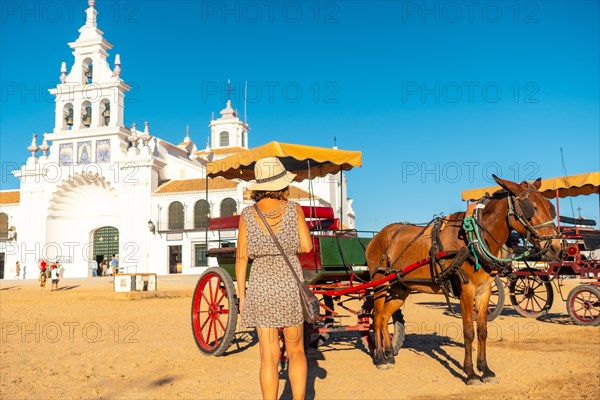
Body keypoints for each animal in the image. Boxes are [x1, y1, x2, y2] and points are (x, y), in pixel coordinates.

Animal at [366, 176, 564, 384]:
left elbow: (483, 331)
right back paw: (380, 358)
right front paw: (470, 373)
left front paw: (485, 369)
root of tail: (379, 235)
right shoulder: (466, 289)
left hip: (400, 287)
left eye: (550, 207)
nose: (556, 248)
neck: (473, 240)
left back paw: (389, 354)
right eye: (530, 208)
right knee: (377, 319)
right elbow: (469, 331)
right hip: (380, 283)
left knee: (386, 316)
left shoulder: (484, 290)